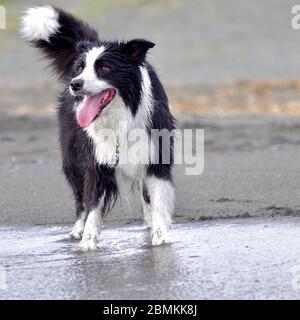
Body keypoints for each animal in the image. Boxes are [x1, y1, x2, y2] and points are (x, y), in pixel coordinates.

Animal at [20, 3, 176, 251]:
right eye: (81, 68)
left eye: (104, 68)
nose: (75, 84)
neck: (119, 118)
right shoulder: (95, 161)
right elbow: (93, 205)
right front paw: (87, 242)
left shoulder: (156, 157)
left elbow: (159, 199)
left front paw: (161, 237)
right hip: (72, 158)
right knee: (80, 199)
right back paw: (77, 230)